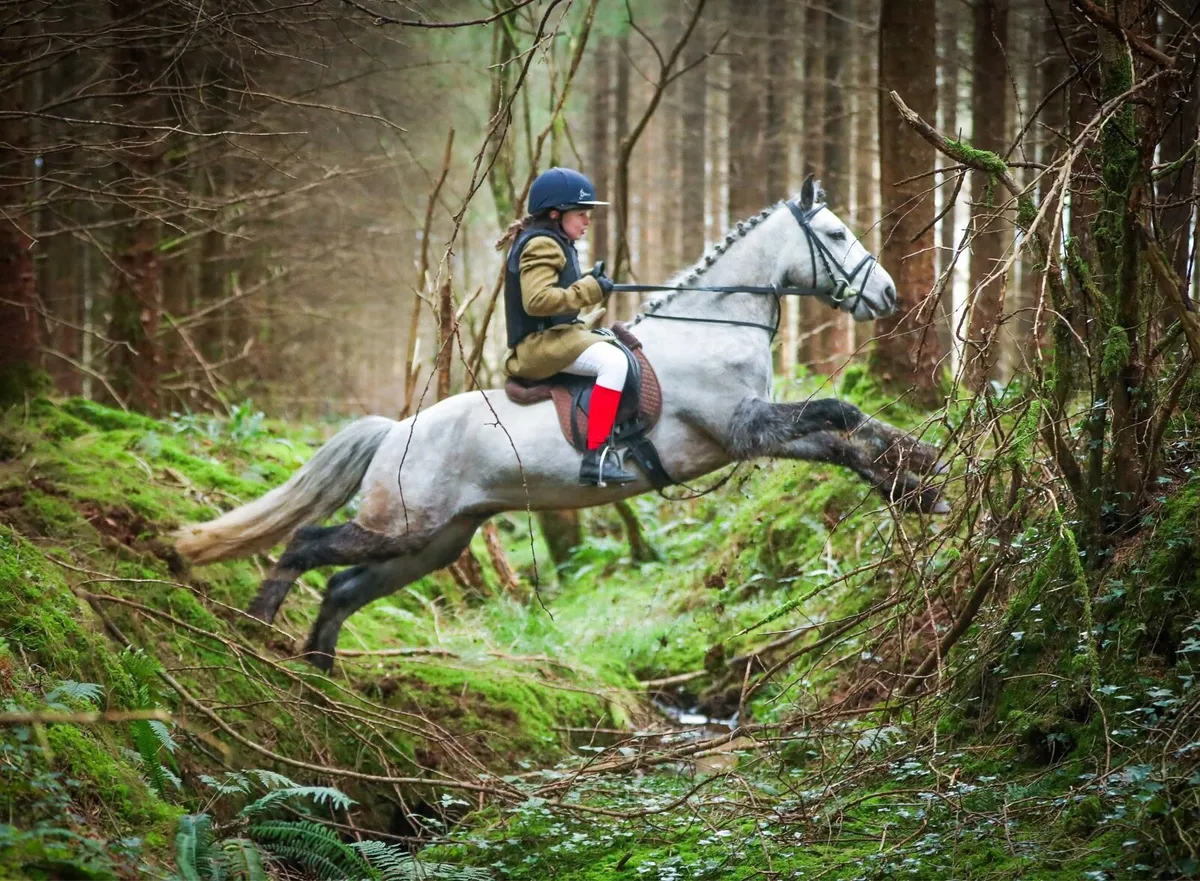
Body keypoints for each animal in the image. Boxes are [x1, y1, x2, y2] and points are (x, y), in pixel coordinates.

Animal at [174, 176, 948, 671]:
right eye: (836, 232)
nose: (888, 294)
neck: (712, 326)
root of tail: (395, 430)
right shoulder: (743, 427)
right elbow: (839, 415)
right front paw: (918, 475)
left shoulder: (753, 433)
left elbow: (843, 436)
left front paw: (920, 478)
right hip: (404, 523)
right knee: (306, 543)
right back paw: (258, 630)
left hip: (436, 542)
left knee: (342, 588)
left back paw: (322, 680)